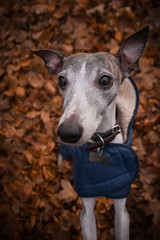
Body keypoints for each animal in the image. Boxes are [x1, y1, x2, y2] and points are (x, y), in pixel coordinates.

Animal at [31, 27, 149, 240]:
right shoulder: (86, 208)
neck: (100, 140)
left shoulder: (122, 206)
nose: (67, 133)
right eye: (62, 80)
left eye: (105, 80)